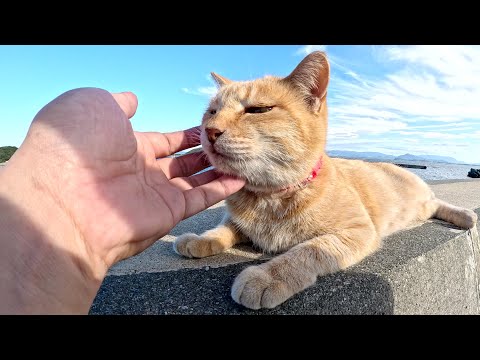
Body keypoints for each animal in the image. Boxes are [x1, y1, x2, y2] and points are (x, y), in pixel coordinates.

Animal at [172, 50, 476, 310]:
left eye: (257, 110)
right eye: (212, 111)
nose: (210, 131)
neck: (270, 197)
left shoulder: (358, 230)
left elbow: (309, 250)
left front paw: (267, 276)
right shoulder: (236, 220)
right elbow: (223, 228)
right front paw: (200, 240)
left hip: (420, 204)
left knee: (436, 202)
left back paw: (465, 216)